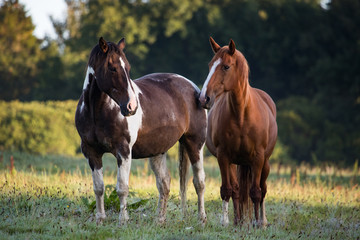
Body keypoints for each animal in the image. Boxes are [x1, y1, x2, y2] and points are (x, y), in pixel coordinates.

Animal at [74, 36, 207, 226]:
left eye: (128, 68)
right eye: (112, 68)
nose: (131, 106)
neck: (97, 112)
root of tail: (194, 88)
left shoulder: (123, 151)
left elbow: (122, 188)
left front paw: (123, 220)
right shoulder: (91, 152)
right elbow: (98, 187)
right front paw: (100, 219)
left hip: (195, 144)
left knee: (199, 182)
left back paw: (201, 218)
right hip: (158, 151)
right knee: (164, 184)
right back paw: (159, 220)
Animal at [198, 37, 278, 227]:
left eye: (226, 66)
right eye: (210, 64)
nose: (203, 98)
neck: (241, 115)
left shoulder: (258, 158)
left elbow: (255, 192)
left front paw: (257, 223)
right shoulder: (223, 156)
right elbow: (227, 190)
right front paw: (226, 221)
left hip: (265, 163)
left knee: (262, 190)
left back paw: (262, 220)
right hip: (234, 162)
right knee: (236, 189)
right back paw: (238, 221)